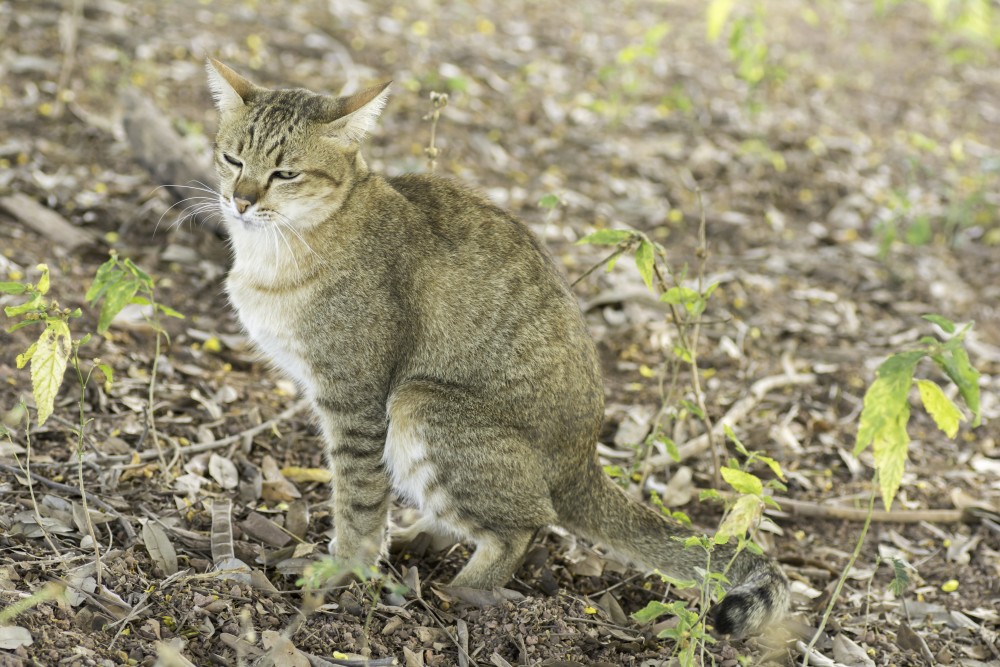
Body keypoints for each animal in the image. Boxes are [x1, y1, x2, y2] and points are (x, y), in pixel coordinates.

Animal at [207, 58, 784, 636]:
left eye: (286, 174)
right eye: (233, 159)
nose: (241, 200)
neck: (280, 251)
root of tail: (586, 463)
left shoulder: (356, 399)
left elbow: (359, 498)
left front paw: (344, 567)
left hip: (418, 403)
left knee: (526, 525)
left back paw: (459, 592)